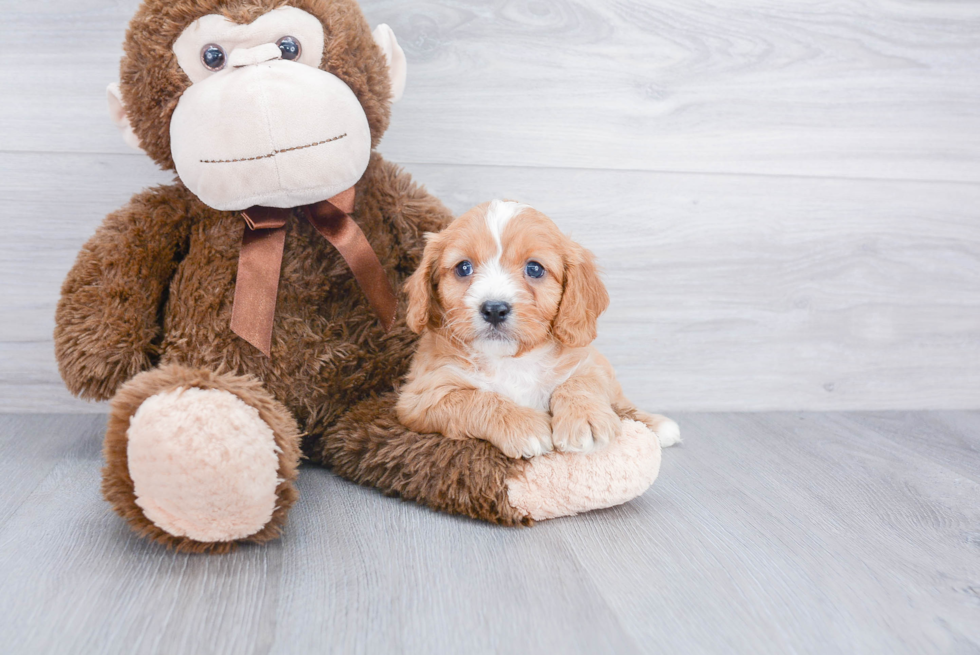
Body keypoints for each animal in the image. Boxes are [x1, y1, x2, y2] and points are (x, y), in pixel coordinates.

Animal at [394, 201, 676, 462]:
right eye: (464, 267)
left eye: (534, 268)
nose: (494, 309)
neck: (512, 360)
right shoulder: (422, 395)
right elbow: (476, 398)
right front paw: (523, 425)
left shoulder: (589, 362)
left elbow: (579, 382)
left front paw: (585, 417)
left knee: (623, 402)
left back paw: (658, 424)